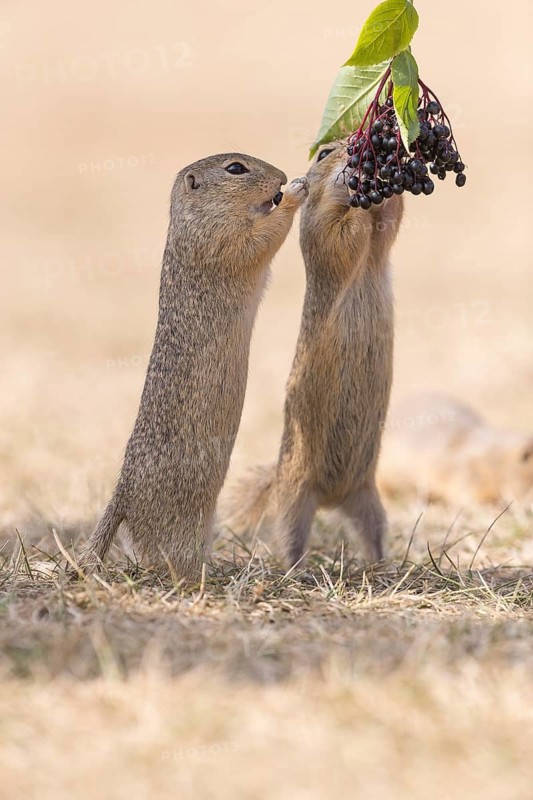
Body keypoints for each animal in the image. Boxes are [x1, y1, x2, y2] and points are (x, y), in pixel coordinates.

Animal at [77, 154, 309, 579]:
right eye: (236, 169)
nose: (282, 177)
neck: (194, 217)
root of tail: (121, 497)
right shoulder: (221, 240)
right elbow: (263, 237)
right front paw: (296, 192)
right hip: (182, 525)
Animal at [223, 142, 404, 566]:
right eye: (324, 153)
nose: (355, 148)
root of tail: (331, 498)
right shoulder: (319, 229)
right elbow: (341, 236)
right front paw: (360, 197)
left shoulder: (379, 243)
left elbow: (388, 224)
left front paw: (390, 188)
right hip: (294, 498)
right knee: (290, 535)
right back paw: (294, 568)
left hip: (369, 498)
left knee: (371, 531)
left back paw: (380, 563)